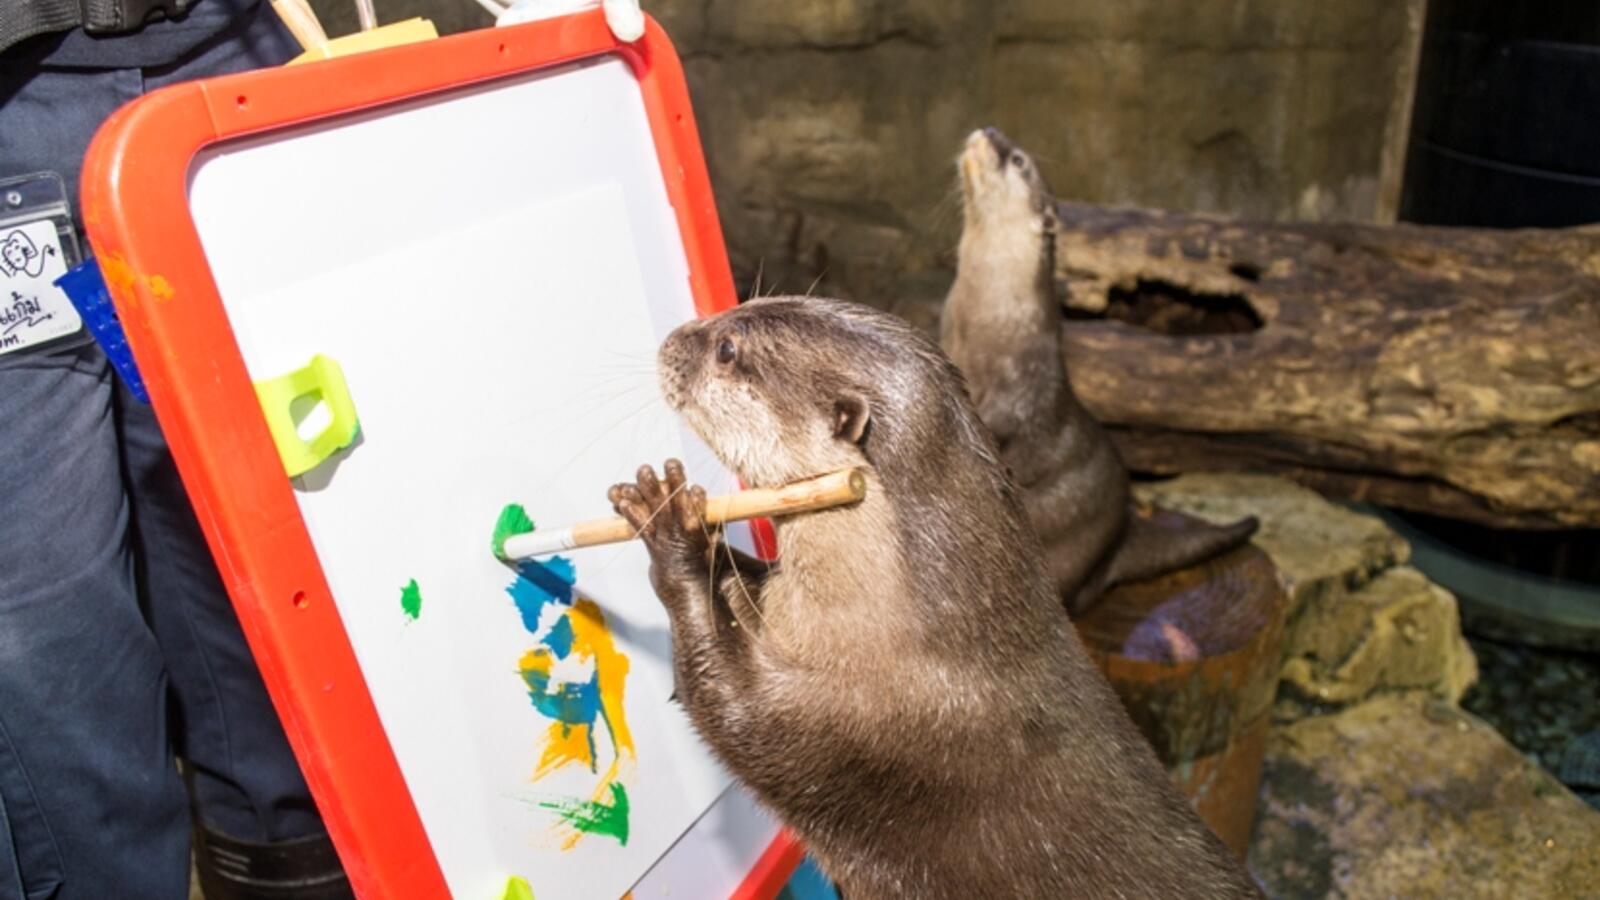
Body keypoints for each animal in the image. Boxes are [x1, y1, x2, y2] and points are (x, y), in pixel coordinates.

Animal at [608, 297, 1261, 898]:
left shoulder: (860, 735)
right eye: (742, 304)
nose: (673, 337)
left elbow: (734, 713)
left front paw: (672, 529)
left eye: (727, 348)